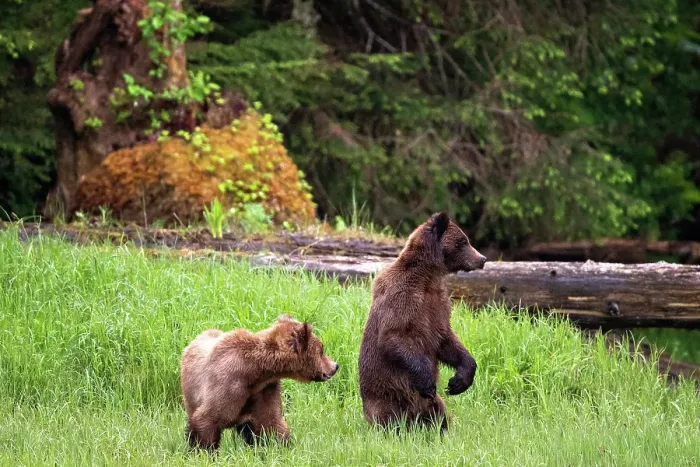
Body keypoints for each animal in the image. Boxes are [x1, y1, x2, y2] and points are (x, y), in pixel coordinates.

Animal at [180, 314, 339, 451]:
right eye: (322, 349)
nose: (335, 366)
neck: (256, 371)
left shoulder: (265, 388)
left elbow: (272, 423)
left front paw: (284, 448)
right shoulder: (228, 383)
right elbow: (207, 418)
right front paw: (204, 451)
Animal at [358, 212, 486, 432]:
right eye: (463, 242)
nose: (482, 259)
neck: (427, 278)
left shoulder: (438, 305)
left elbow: (447, 340)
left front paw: (458, 382)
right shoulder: (402, 298)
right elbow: (394, 336)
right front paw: (427, 381)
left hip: (431, 405)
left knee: (439, 412)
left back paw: (441, 429)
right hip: (386, 398)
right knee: (389, 417)